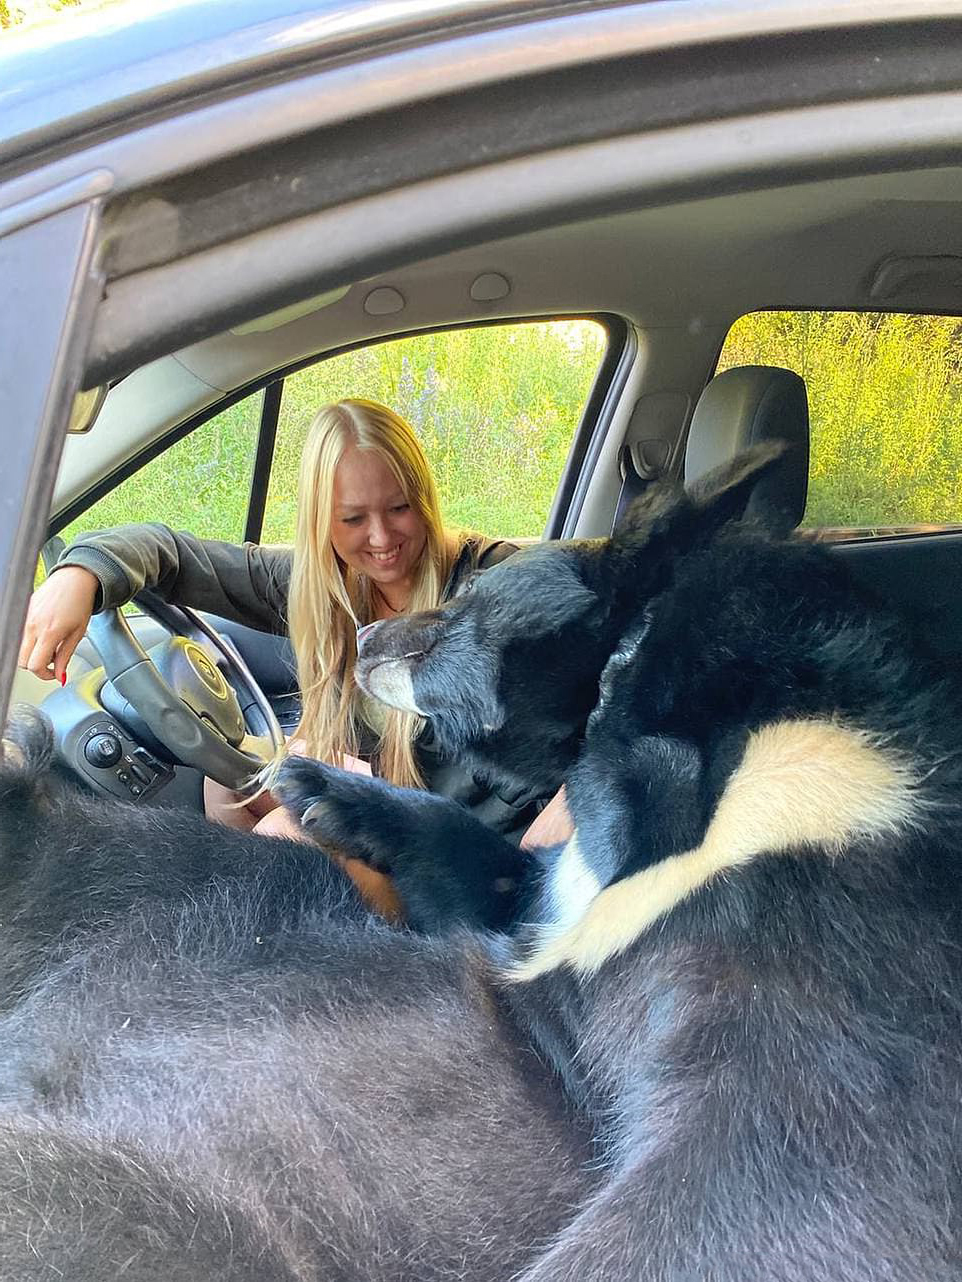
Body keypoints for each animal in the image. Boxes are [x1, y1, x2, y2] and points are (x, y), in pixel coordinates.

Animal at [0, 443, 959, 1282]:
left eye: (466, 608)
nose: (367, 634)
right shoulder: (567, 885)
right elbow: (490, 868)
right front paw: (318, 786)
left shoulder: (816, 965)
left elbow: (763, 1183)